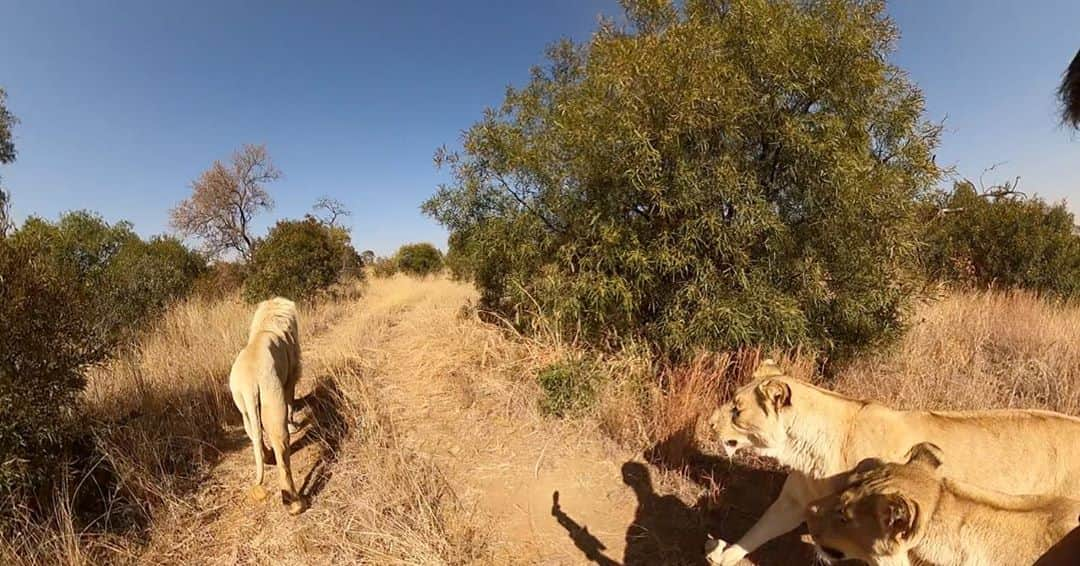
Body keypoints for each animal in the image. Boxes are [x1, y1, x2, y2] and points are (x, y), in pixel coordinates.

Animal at [230, 295, 306, 511]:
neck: (267, 325)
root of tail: (248, 383)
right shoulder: (290, 377)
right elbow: (291, 401)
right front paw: (295, 425)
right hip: (272, 398)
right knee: (281, 449)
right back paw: (294, 502)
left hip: (243, 407)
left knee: (254, 435)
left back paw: (268, 457)